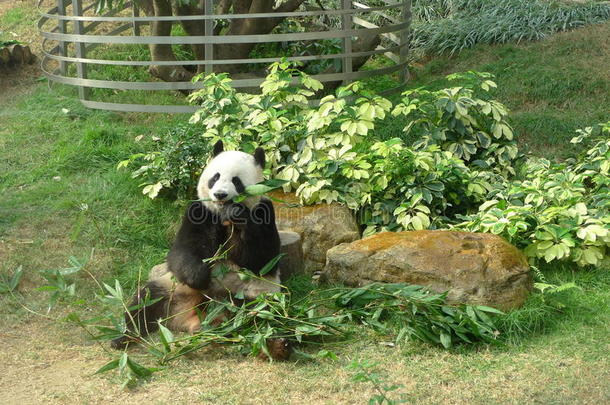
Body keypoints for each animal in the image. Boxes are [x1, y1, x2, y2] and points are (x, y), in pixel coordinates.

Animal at [111, 140, 280, 348]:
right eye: (215, 177)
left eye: (236, 181)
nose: (220, 194)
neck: (222, 216)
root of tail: (188, 319)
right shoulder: (200, 210)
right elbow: (183, 250)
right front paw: (200, 276)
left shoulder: (264, 212)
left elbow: (261, 259)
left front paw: (238, 215)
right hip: (172, 288)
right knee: (145, 301)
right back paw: (124, 336)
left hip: (253, 295)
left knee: (248, 313)